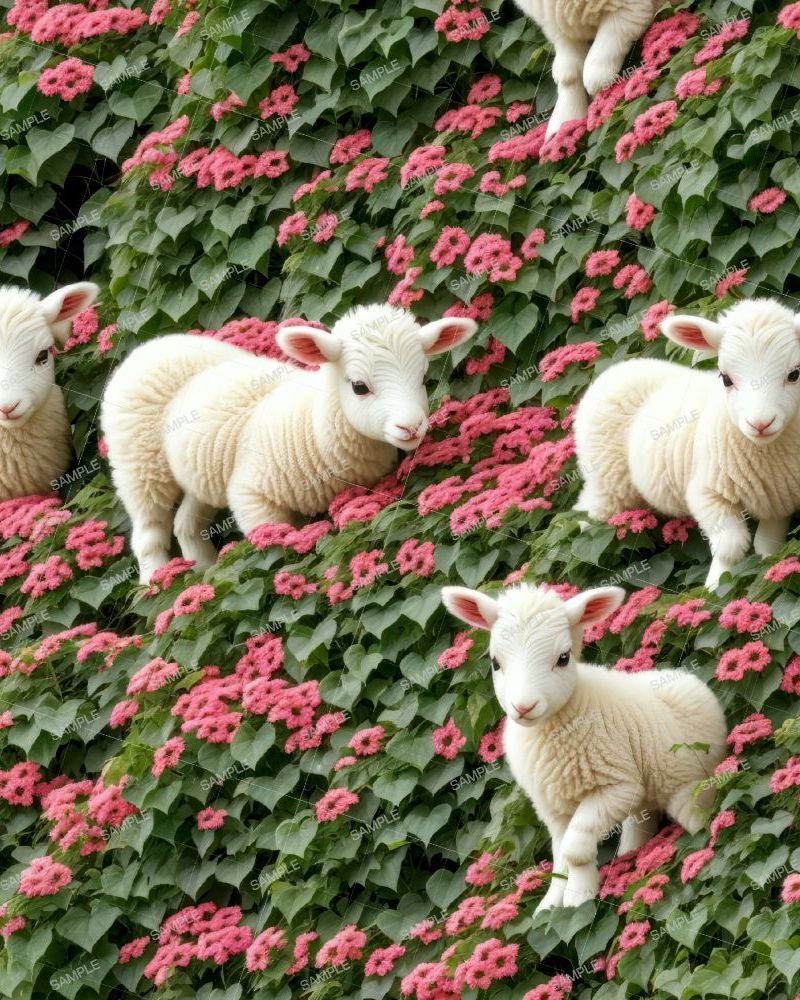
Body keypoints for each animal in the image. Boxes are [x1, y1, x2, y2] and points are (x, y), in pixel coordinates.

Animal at [101, 304, 478, 583]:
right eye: (359, 386)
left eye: (423, 378)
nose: (411, 426)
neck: (312, 424)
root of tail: (151, 346)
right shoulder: (252, 496)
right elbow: (278, 549)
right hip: (139, 463)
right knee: (148, 531)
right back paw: (156, 587)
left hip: (199, 471)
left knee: (186, 522)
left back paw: (202, 573)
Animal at [441, 582, 727, 910]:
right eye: (495, 662)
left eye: (563, 658)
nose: (523, 707)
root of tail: (685, 677)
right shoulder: (552, 806)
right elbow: (560, 858)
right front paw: (550, 906)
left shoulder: (617, 787)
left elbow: (574, 849)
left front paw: (578, 900)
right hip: (645, 795)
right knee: (639, 823)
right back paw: (632, 855)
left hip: (691, 785)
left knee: (700, 816)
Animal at [514, 0, 660, 138]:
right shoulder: (562, 31)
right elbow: (568, 74)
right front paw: (563, 124)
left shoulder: (629, 8)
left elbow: (597, 64)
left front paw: (599, 99)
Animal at [574, 298, 800, 590]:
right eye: (726, 378)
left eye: (794, 374)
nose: (760, 423)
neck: (767, 452)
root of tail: (614, 370)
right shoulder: (705, 493)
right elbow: (730, 546)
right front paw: (716, 588)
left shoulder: (779, 499)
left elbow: (768, 547)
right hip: (608, 484)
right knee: (586, 513)